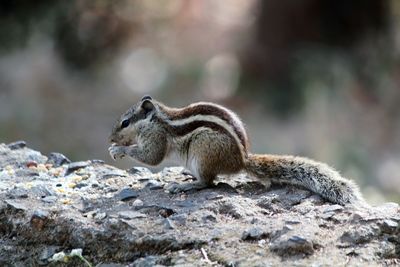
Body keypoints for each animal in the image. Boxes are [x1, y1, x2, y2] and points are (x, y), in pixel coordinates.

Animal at [108, 95, 364, 206]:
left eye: (125, 123)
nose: (109, 138)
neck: (156, 120)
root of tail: (242, 160)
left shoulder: (156, 138)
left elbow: (151, 158)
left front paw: (119, 149)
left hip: (202, 150)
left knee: (208, 182)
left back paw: (187, 185)